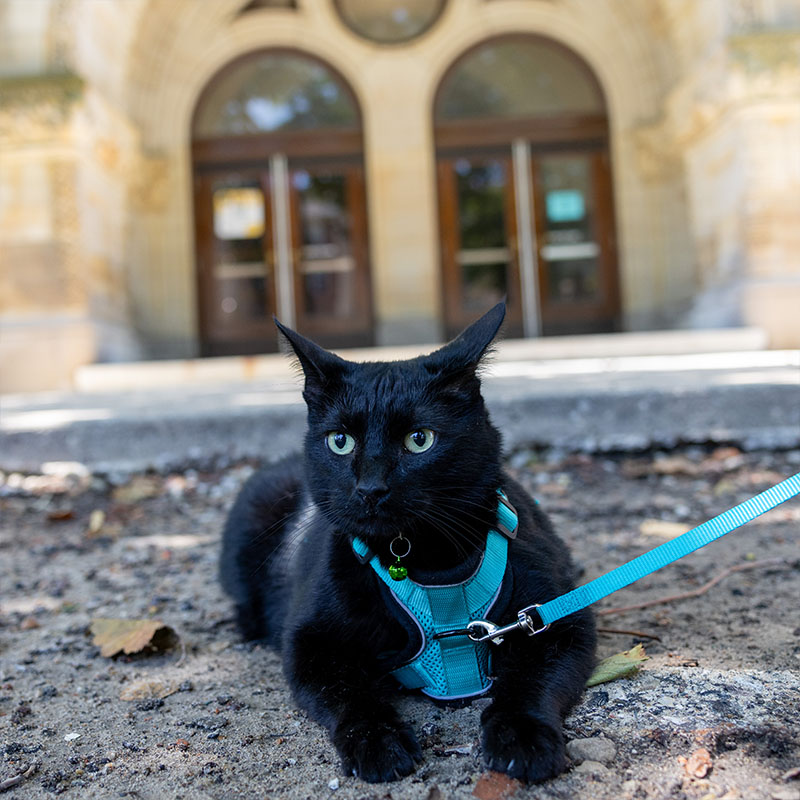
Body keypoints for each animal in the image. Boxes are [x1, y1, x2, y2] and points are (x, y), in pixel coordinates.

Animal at [219, 304, 592, 784]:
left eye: (420, 439)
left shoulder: (556, 618)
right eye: (340, 441)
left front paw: (522, 737)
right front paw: (379, 743)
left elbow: (531, 681)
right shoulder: (310, 641)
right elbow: (349, 694)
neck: (430, 559)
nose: (370, 488)